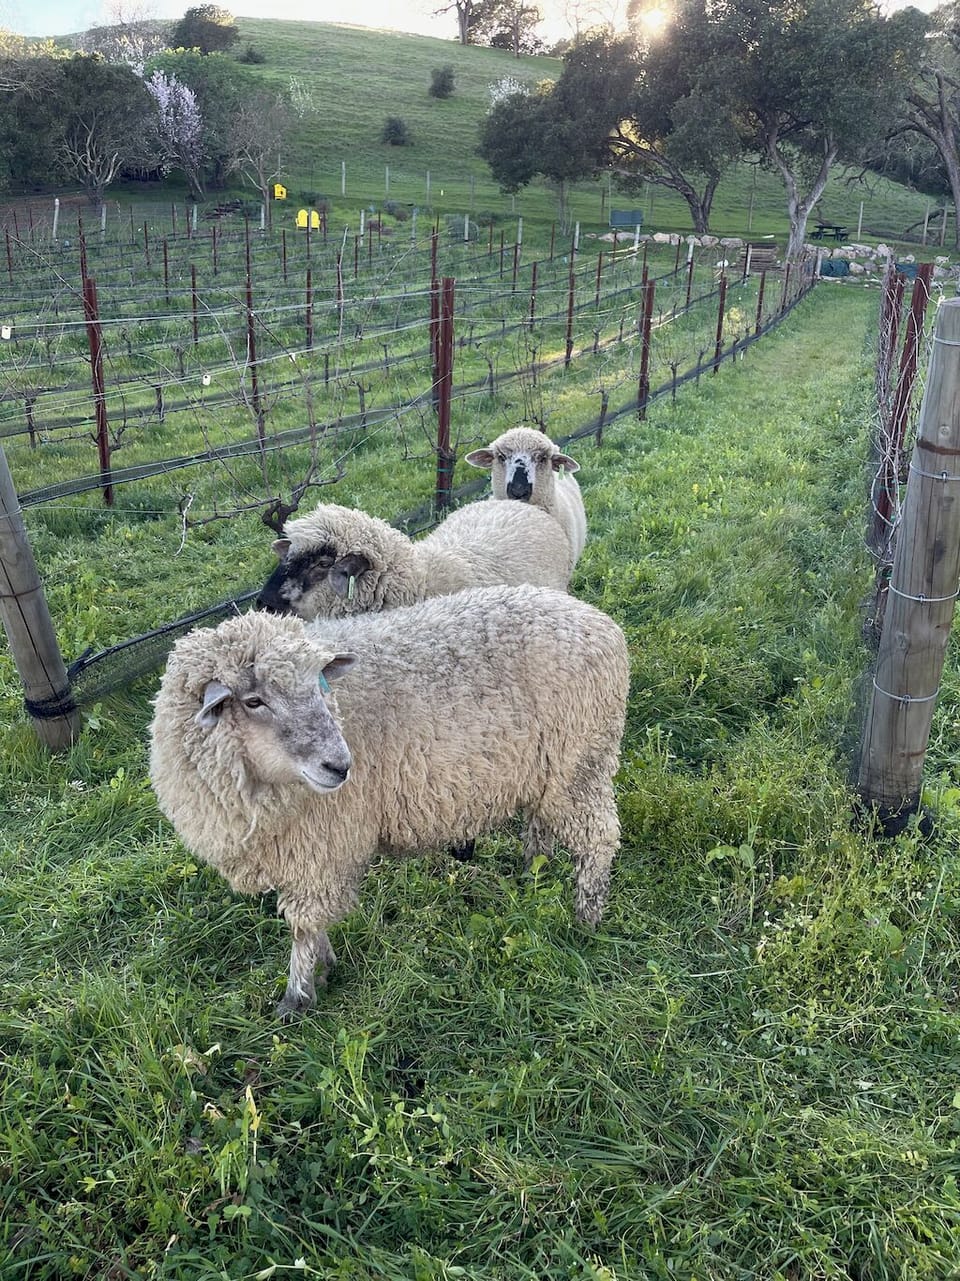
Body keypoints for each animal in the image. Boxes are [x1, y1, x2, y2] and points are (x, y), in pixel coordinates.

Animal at [149, 584, 629, 1019]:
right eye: (253, 701)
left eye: (320, 685)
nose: (340, 766)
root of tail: (599, 622)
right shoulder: (301, 852)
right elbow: (310, 924)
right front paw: (323, 967)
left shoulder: (321, 848)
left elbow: (303, 925)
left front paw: (297, 997)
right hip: (546, 772)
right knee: (540, 823)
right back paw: (532, 875)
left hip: (581, 762)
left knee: (598, 841)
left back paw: (585, 920)